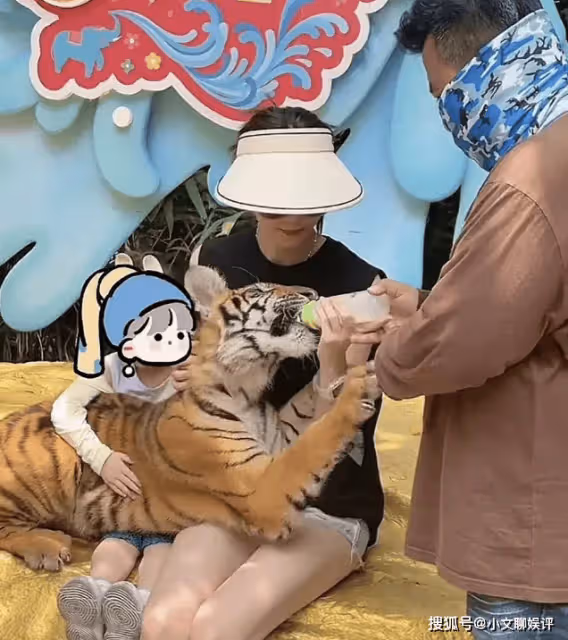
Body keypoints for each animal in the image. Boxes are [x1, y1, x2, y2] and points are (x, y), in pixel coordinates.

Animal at [0, 265, 378, 572]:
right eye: (258, 291)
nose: (313, 293)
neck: (245, 389)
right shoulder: (262, 488)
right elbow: (315, 442)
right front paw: (356, 388)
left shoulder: (279, 438)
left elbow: (308, 407)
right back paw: (49, 547)